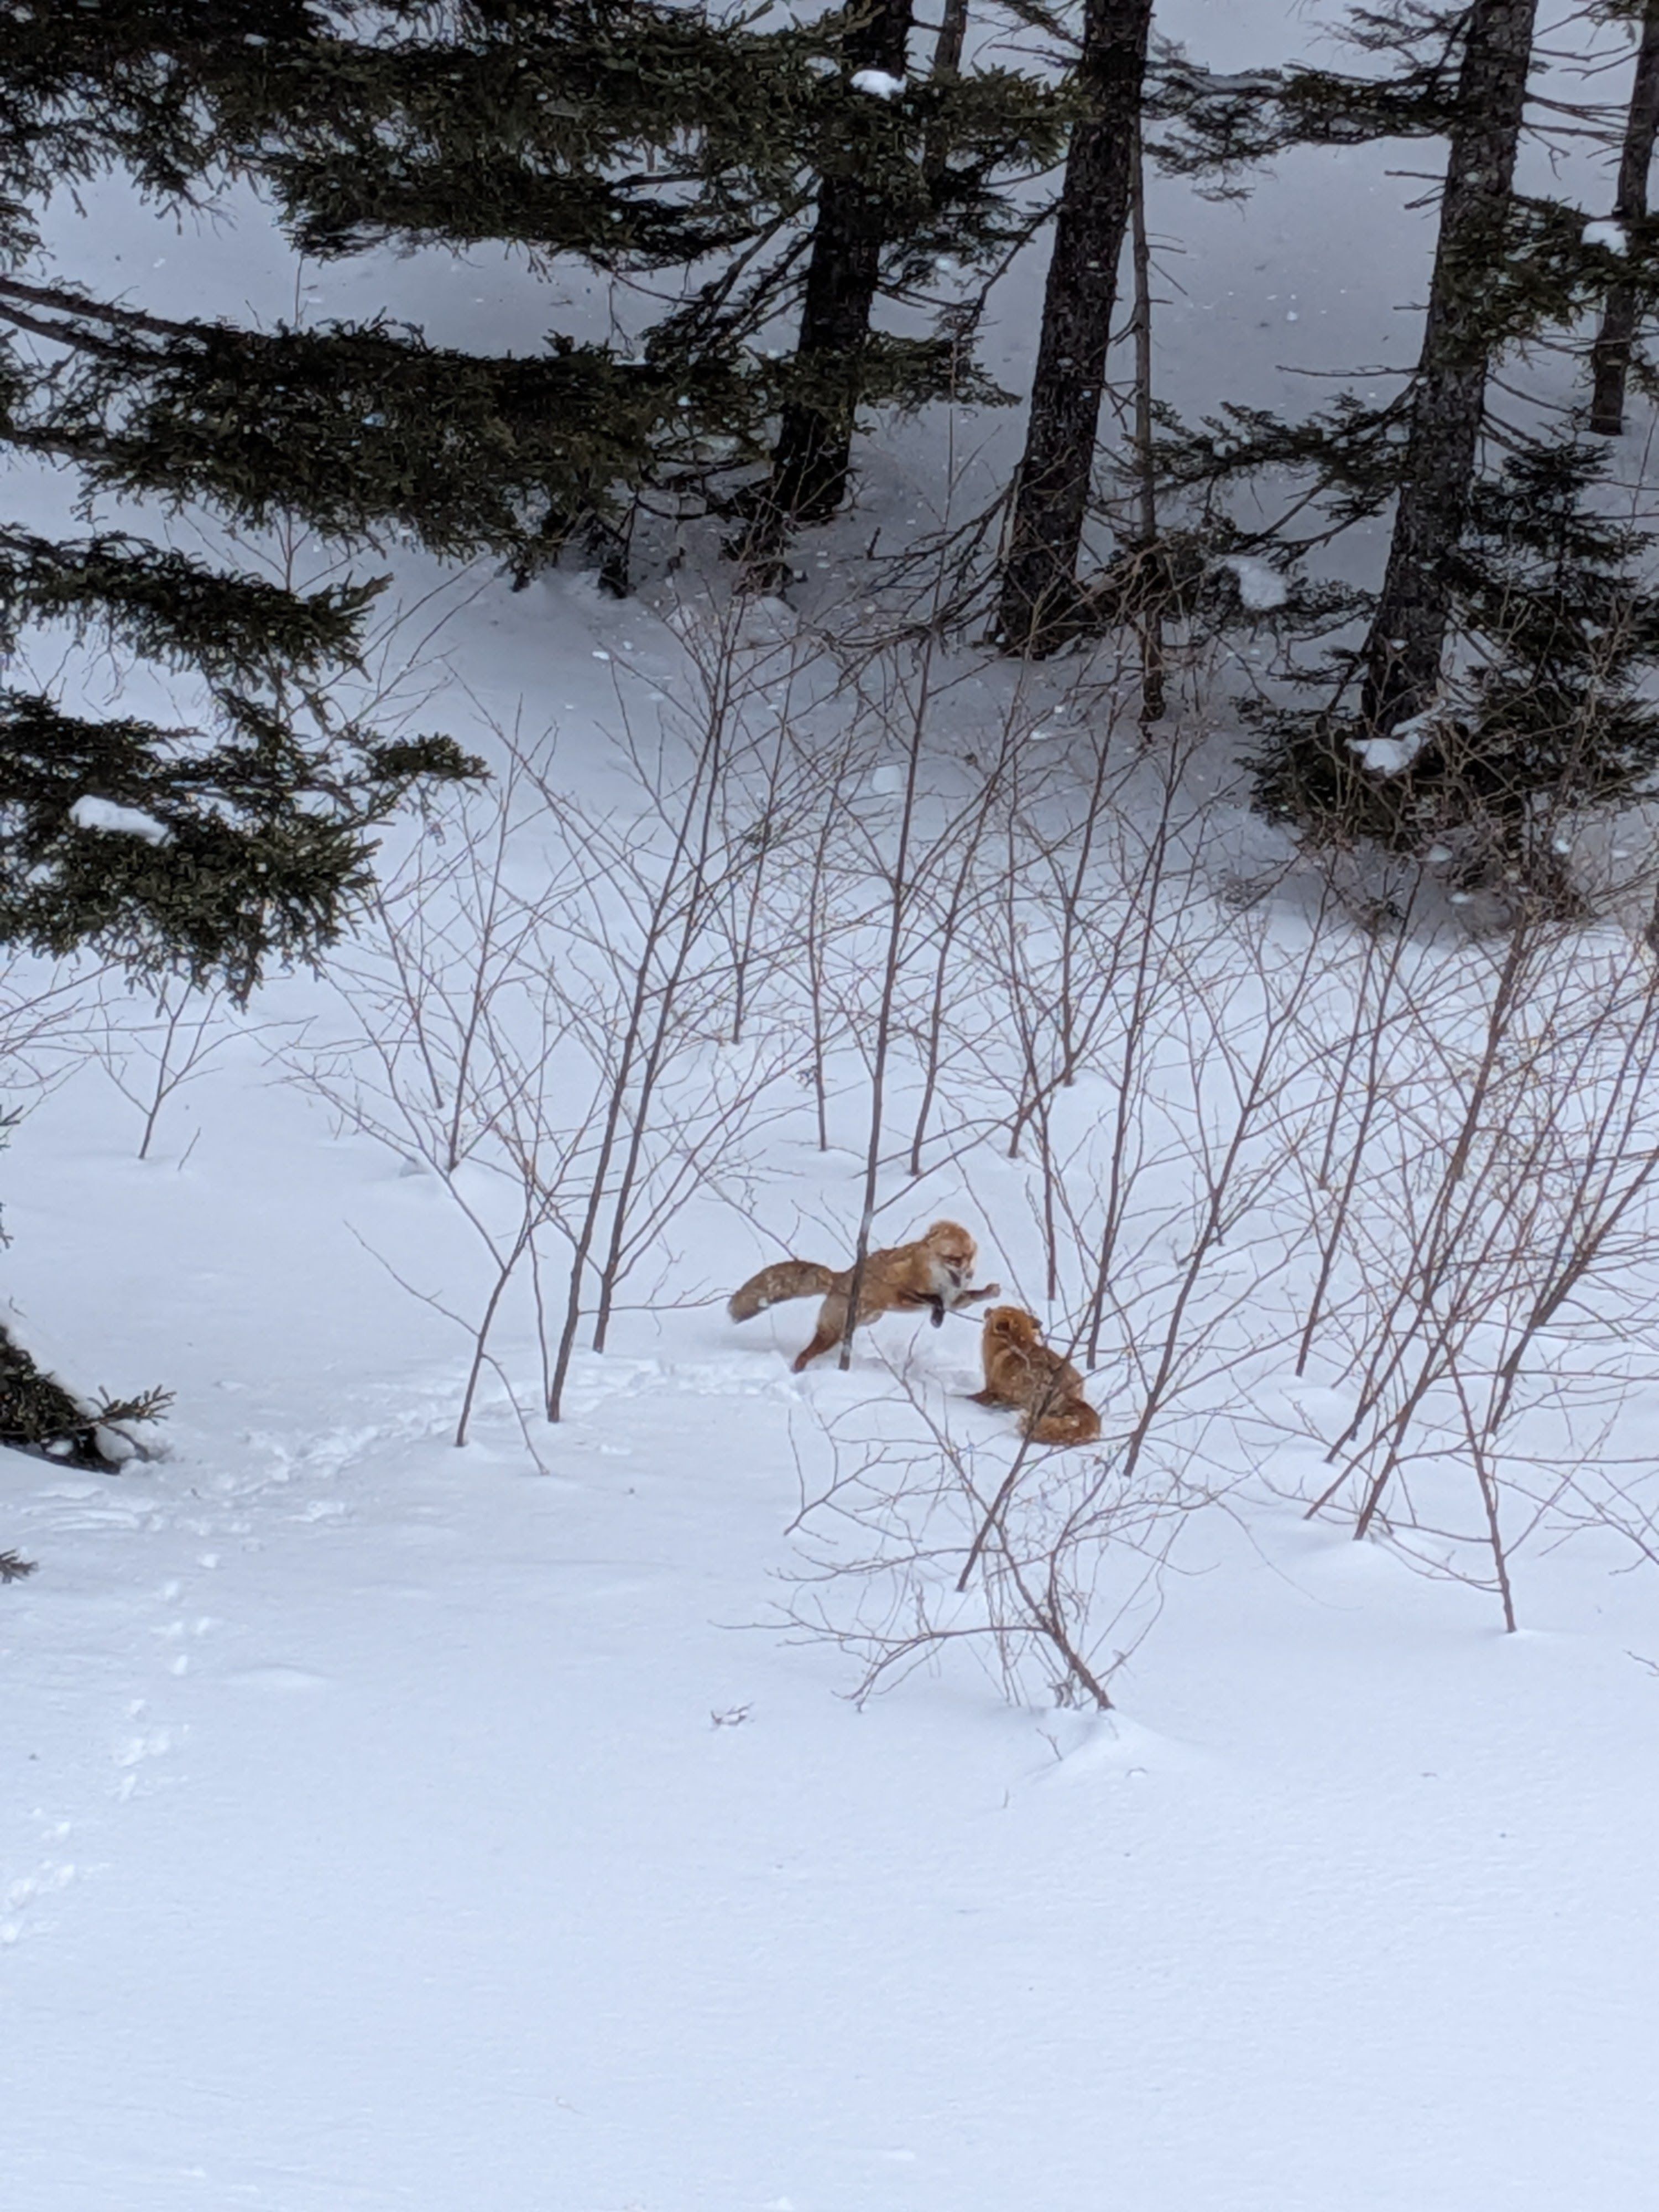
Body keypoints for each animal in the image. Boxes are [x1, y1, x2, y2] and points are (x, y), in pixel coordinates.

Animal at [728, 1221, 1000, 1373]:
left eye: (970, 1257)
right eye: (955, 1259)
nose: (969, 1274)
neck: (936, 1278)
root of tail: (839, 1278)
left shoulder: (954, 1298)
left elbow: (964, 1298)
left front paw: (990, 1291)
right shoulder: (899, 1293)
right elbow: (934, 1301)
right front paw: (936, 1318)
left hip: (868, 1319)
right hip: (833, 1333)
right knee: (805, 1354)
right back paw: (798, 1371)